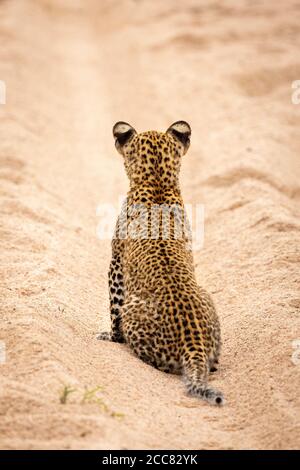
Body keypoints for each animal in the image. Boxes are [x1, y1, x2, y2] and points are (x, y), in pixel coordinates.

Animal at [98, 120, 223, 404]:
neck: (157, 183)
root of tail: (193, 343)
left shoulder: (116, 264)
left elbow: (113, 307)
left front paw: (110, 337)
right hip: (207, 296)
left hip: (133, 311)